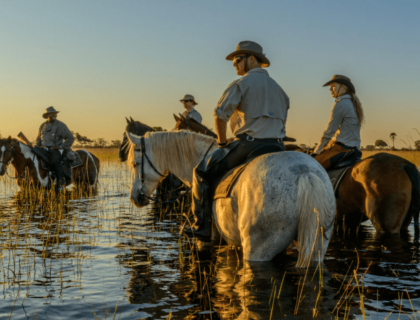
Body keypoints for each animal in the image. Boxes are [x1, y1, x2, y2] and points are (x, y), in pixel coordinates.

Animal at [126, 131, 336, 268]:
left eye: (135, 164)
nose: (135, 197)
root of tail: (305, 173)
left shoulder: (210, 238)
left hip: (258, 248)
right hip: (317, 244)